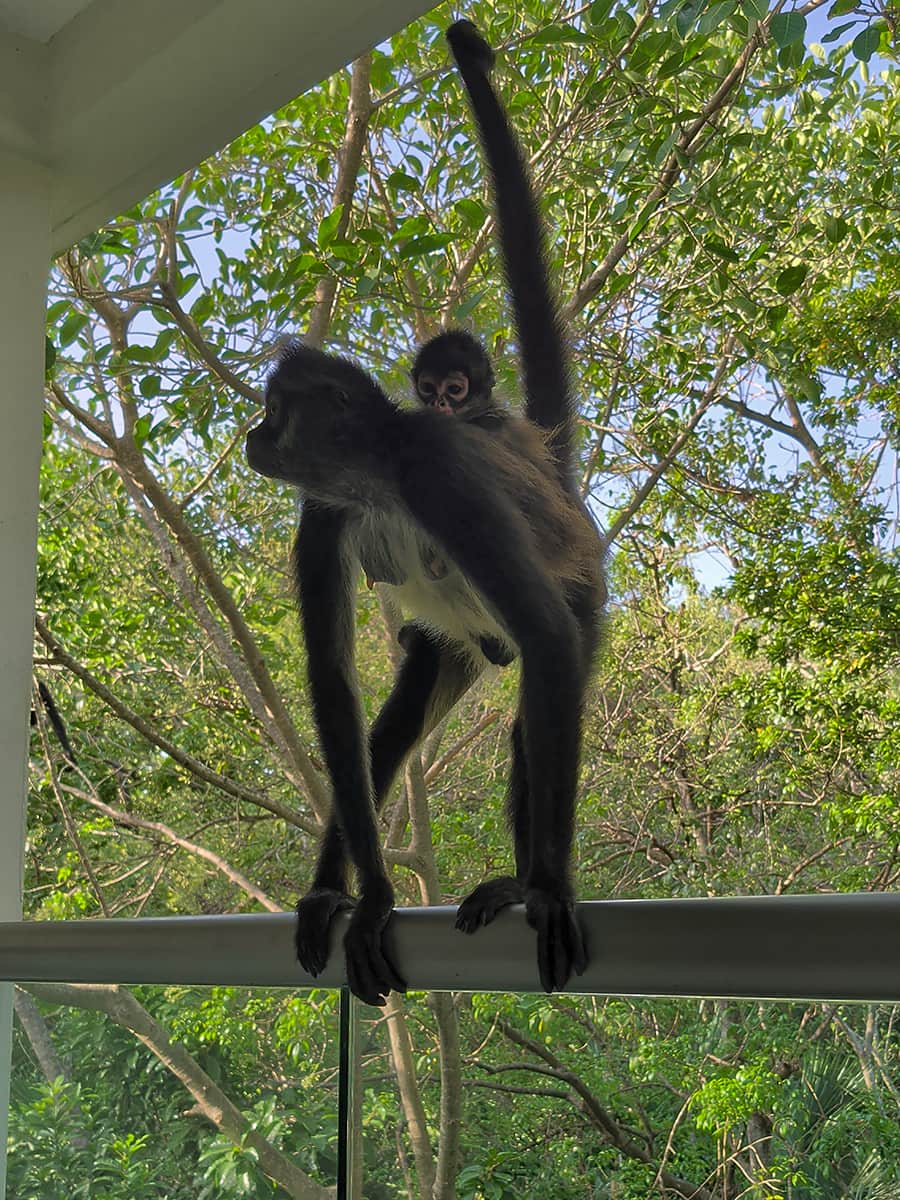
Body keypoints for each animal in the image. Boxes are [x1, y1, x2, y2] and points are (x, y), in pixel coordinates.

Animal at [244, 21, 605, 1005]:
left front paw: (551, 887)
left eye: (275, 410)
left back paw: (525, 879)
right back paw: (334, 887)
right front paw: (367, 896)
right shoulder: (326, 507)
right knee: (393, 721)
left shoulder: (436, 467)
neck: (379, 479)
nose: (252, 435)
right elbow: (334, 685)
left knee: (546, 669)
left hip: (579, 590)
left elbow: (550, 641)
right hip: (460, 647)